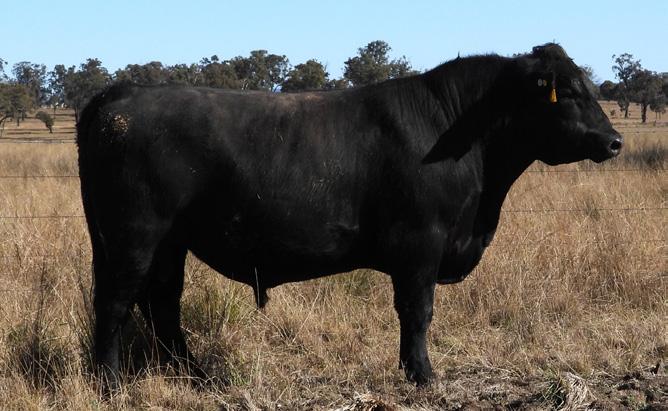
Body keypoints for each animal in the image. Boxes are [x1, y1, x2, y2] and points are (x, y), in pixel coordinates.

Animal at [77, 43, 622, 389]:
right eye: (571, 92)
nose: (614, 141)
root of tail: (121, 94)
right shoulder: (421, 244)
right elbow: (418, 312)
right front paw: (423, 376)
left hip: (169, 243)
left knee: (162, 305)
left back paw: (196, 376)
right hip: (133, 238)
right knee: (115, 304)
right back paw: (111, 385)